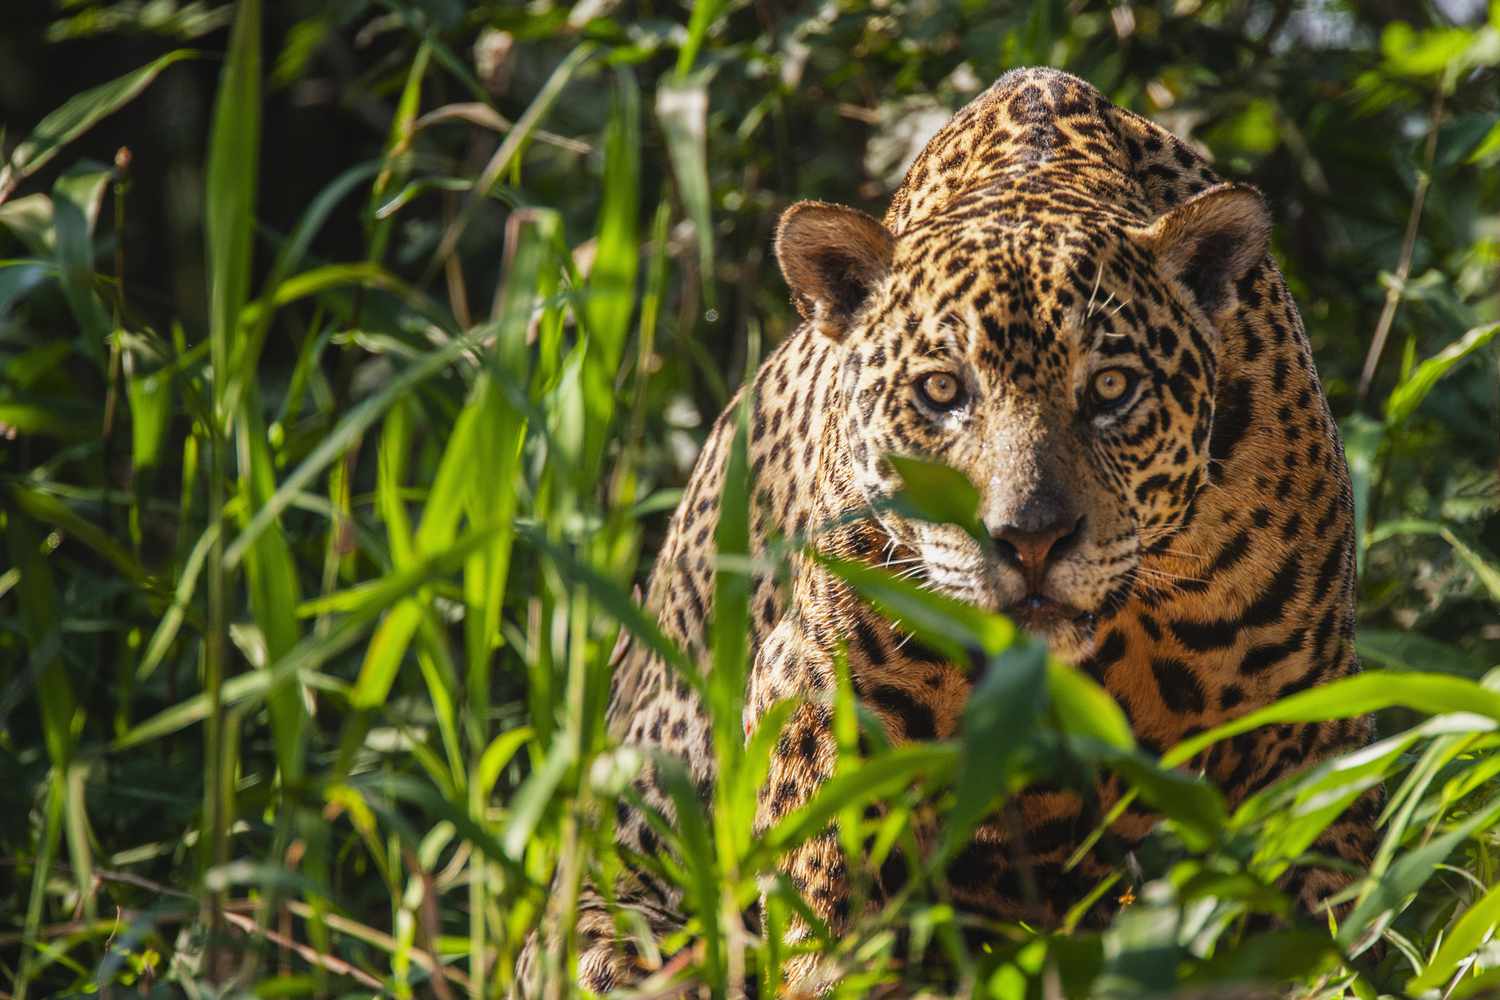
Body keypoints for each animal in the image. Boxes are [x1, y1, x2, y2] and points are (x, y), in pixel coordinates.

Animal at [516, 66, 1376, 996]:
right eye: (940, 391)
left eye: (1112, 388)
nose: (1032, 539)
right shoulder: (822, 702)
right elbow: (830, 914)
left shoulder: (1304, 716)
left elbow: (1314, 910)